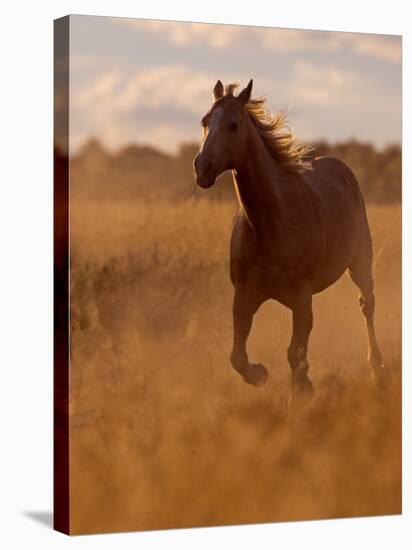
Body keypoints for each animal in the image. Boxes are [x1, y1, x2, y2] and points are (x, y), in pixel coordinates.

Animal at [193, 78, 390, 406]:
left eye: (234, 125)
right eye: (205, 121)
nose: (202, 168)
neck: (270, 222)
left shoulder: (300, 295)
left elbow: (294, 354)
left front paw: (302, 389)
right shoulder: (244, 297)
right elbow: (238, 356)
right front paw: (260, 374)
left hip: (360, 262)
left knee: (367, 305)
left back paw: (378, 369)